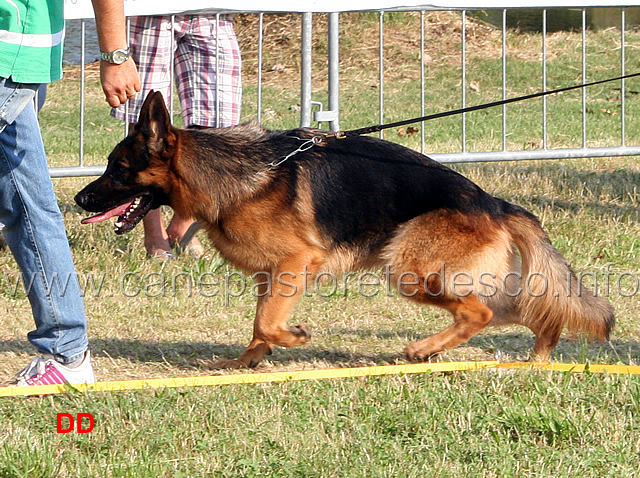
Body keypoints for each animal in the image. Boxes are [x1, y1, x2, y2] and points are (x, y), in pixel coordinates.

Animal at [75, 93, 616, 370]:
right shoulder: (273, 275)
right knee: (522, 310)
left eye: (118, 169)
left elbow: (268, 322)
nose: (79, 200)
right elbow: (258, 323)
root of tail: (493, 202)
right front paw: (246, 362)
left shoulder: (297, 263)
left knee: (481, 312)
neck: (230, 174)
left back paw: (424, 350)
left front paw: (294, 338)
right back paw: (539, 356)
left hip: (409, 270)